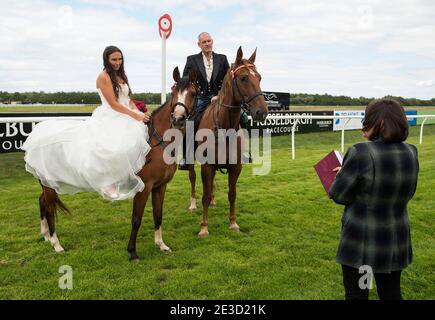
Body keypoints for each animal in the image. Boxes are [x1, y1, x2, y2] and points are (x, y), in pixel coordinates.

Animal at [38, 67, 198, 260]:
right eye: (173, 92)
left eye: (193, 93)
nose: (178, 119)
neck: (157, 143)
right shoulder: (144, 187)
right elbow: (136, 219)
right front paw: (132, 251)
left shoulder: (160, 186)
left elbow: (158, 215)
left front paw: (161, 244)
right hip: (50, 184)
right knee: (49, 208)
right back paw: (56, 244)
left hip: (48, 183)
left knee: (42, 202)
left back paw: (46, 236)